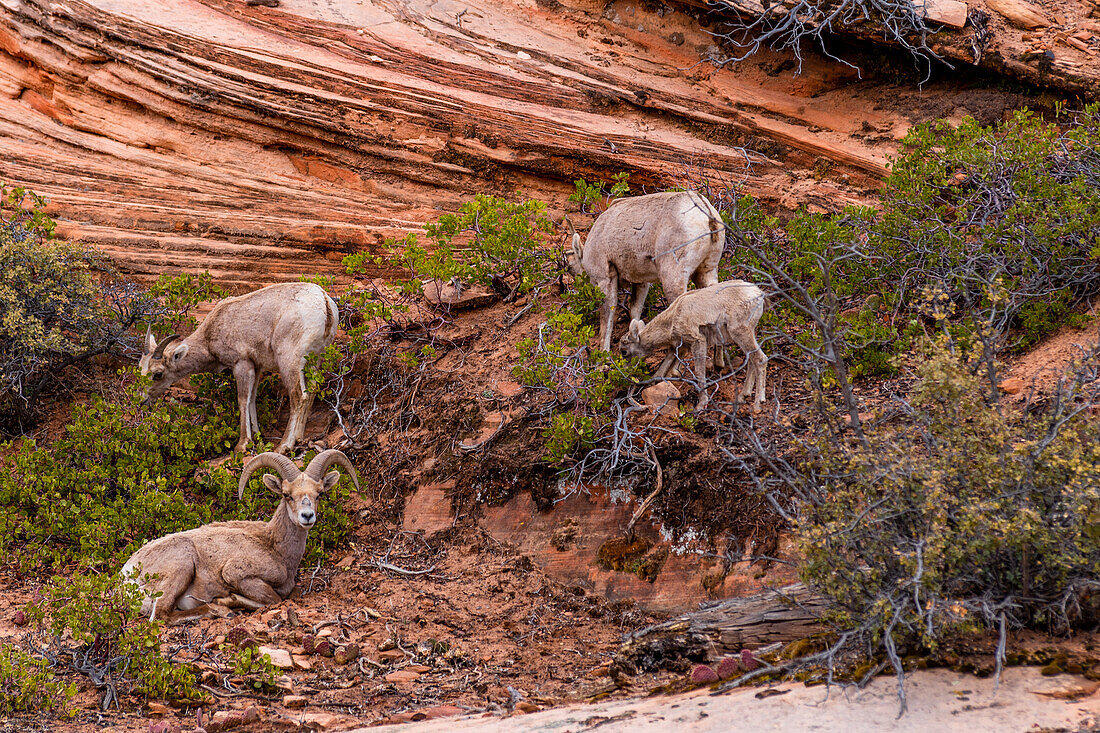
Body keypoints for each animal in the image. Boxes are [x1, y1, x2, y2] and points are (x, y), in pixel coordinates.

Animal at [120, 449, 360, 620]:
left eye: (319, 494)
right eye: (286, 494)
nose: (307, 516)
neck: (275, 548)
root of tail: (127, 576)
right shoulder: (237, 574)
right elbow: (272, 599)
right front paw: (228, 600)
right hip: (182, 563)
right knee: (161, 615)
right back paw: (219, 611)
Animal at [141, 281, 338, 453]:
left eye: (157, 374)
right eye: (140, 369)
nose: (142, 401)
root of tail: (324, 301)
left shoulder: (241, 364)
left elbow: (242, 400)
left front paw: (242, 445)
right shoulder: (256, 367)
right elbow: (252, 399)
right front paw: (257, 438)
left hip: (290, 361)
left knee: (298, 396)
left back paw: (284, 446)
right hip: (314, 361)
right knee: (310, 393)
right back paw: (299, 439)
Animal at [563, 191, 726, 352]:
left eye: (571, 268)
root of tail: (706, 216)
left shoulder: (606, 278)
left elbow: (607, 317)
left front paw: (604, 354)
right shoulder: (641, 282)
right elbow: (635, 311)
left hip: (673, 277)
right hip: (707, 271)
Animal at [620, 279, 765, 411]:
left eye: (624, 352)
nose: (625, 373)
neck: (672, 320)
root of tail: (758, 293)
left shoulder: (697, 341)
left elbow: (699, 372)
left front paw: (701, 405)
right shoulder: (678, 346)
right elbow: (660, 372)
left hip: (739, 331)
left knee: (760, 359)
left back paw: (757, 404)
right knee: (751, 360)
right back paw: (743, 396)